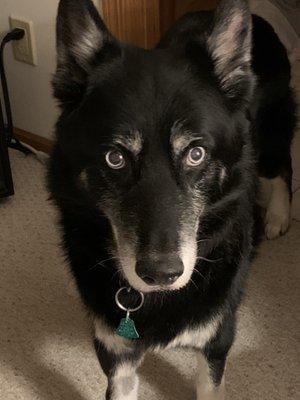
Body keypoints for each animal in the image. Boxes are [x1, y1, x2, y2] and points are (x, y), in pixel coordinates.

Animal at [48, 0, 296, 398]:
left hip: (273, 130)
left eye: (195, 154)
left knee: (282, 166)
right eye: (114, 158)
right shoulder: (115, 354)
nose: (160, 274)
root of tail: (260, 19)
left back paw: (277, 216)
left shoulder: (216, 343)